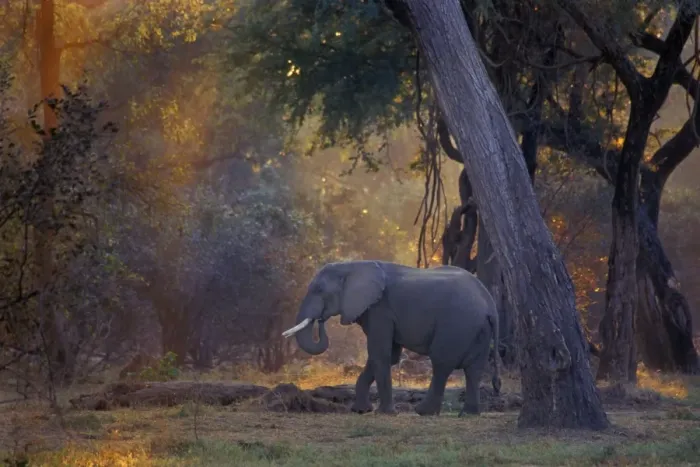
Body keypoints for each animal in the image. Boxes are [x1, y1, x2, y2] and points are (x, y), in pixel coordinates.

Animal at [282, 260, 501, 416]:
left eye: (319, 290)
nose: (320, 320)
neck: (352, 265)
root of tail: (490, 304)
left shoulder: (380, 309)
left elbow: (380, 354)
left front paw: (384, 413)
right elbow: (387, 356)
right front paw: (361, 411)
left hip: (457, 324)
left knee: (441, 363)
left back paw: (423, 412)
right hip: (479, 330)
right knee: (474, 369)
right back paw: (469, 414)